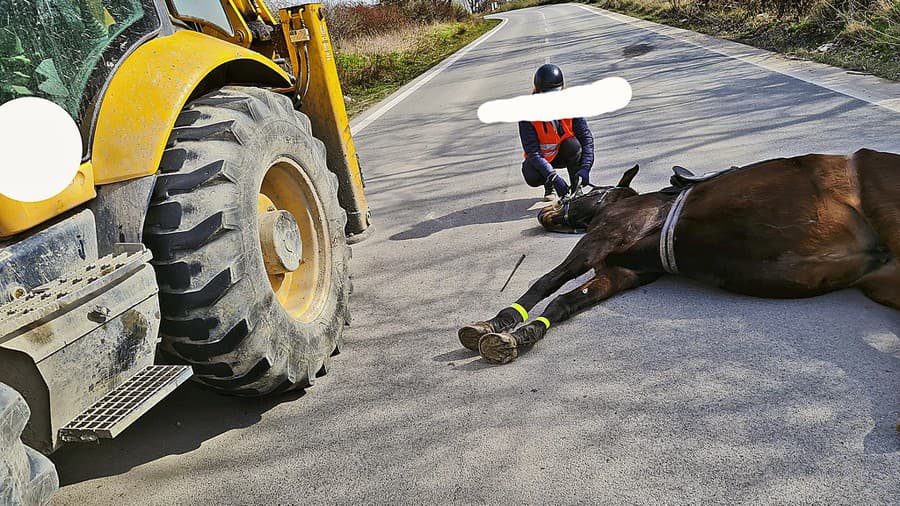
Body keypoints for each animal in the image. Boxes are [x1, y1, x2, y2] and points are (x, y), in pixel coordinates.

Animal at [460, 147, 896, 364]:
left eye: (586, 190)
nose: (547, 211)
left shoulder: (603, 239)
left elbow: (548, 281)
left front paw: (498, 322)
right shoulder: (620, 273)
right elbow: (564, 303)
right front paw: (522, 335)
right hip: (886, 283)